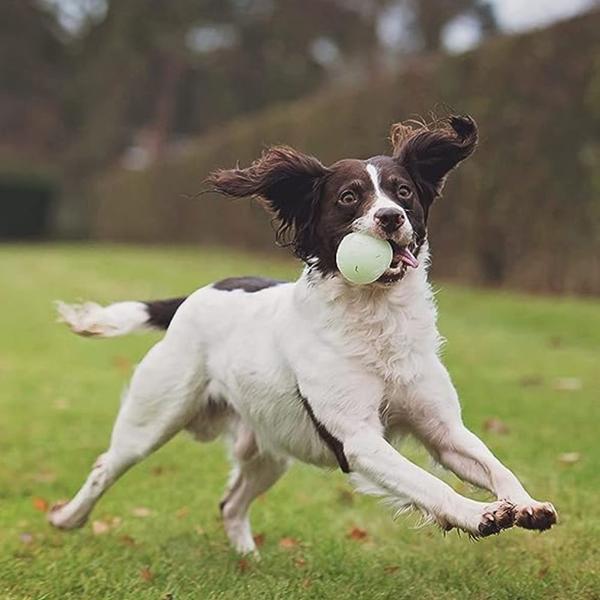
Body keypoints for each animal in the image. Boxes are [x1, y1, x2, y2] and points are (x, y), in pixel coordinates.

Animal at [50, 113, 556, 552]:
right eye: (349, 197)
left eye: (404, 191)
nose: (391, 217)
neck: (375, 315)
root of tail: (195, 295)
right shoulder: (358, 440)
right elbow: (428, 484)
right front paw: (477, 514)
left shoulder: (442, 428)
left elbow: (493, 465)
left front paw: (526, 505)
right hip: (154, 417)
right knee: (106, 466)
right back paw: (66, 518)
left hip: (270, 445)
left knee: (231, 503)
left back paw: (248, 561)